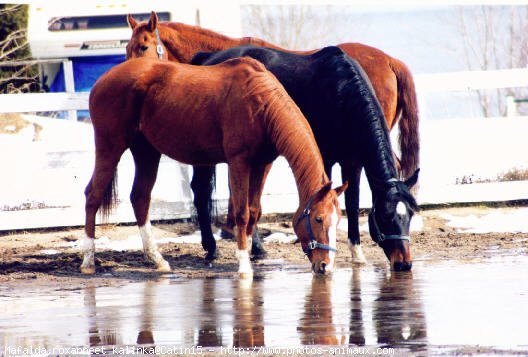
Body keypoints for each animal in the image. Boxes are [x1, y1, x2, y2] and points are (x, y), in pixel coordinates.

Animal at [81, 57, 346, 276]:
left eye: (338, 220)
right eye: (319, 219)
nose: (326, 266)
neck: (260, 103)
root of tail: (103, 79)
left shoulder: (262, 165)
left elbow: (254, 211)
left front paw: (250, 253)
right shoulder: (239, 162)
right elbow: (241, 212)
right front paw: (243, 266)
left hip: (146, 152)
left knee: (140, 198)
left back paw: (157, 259)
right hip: (110, 146)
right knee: (93, 195)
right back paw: (88, 262)